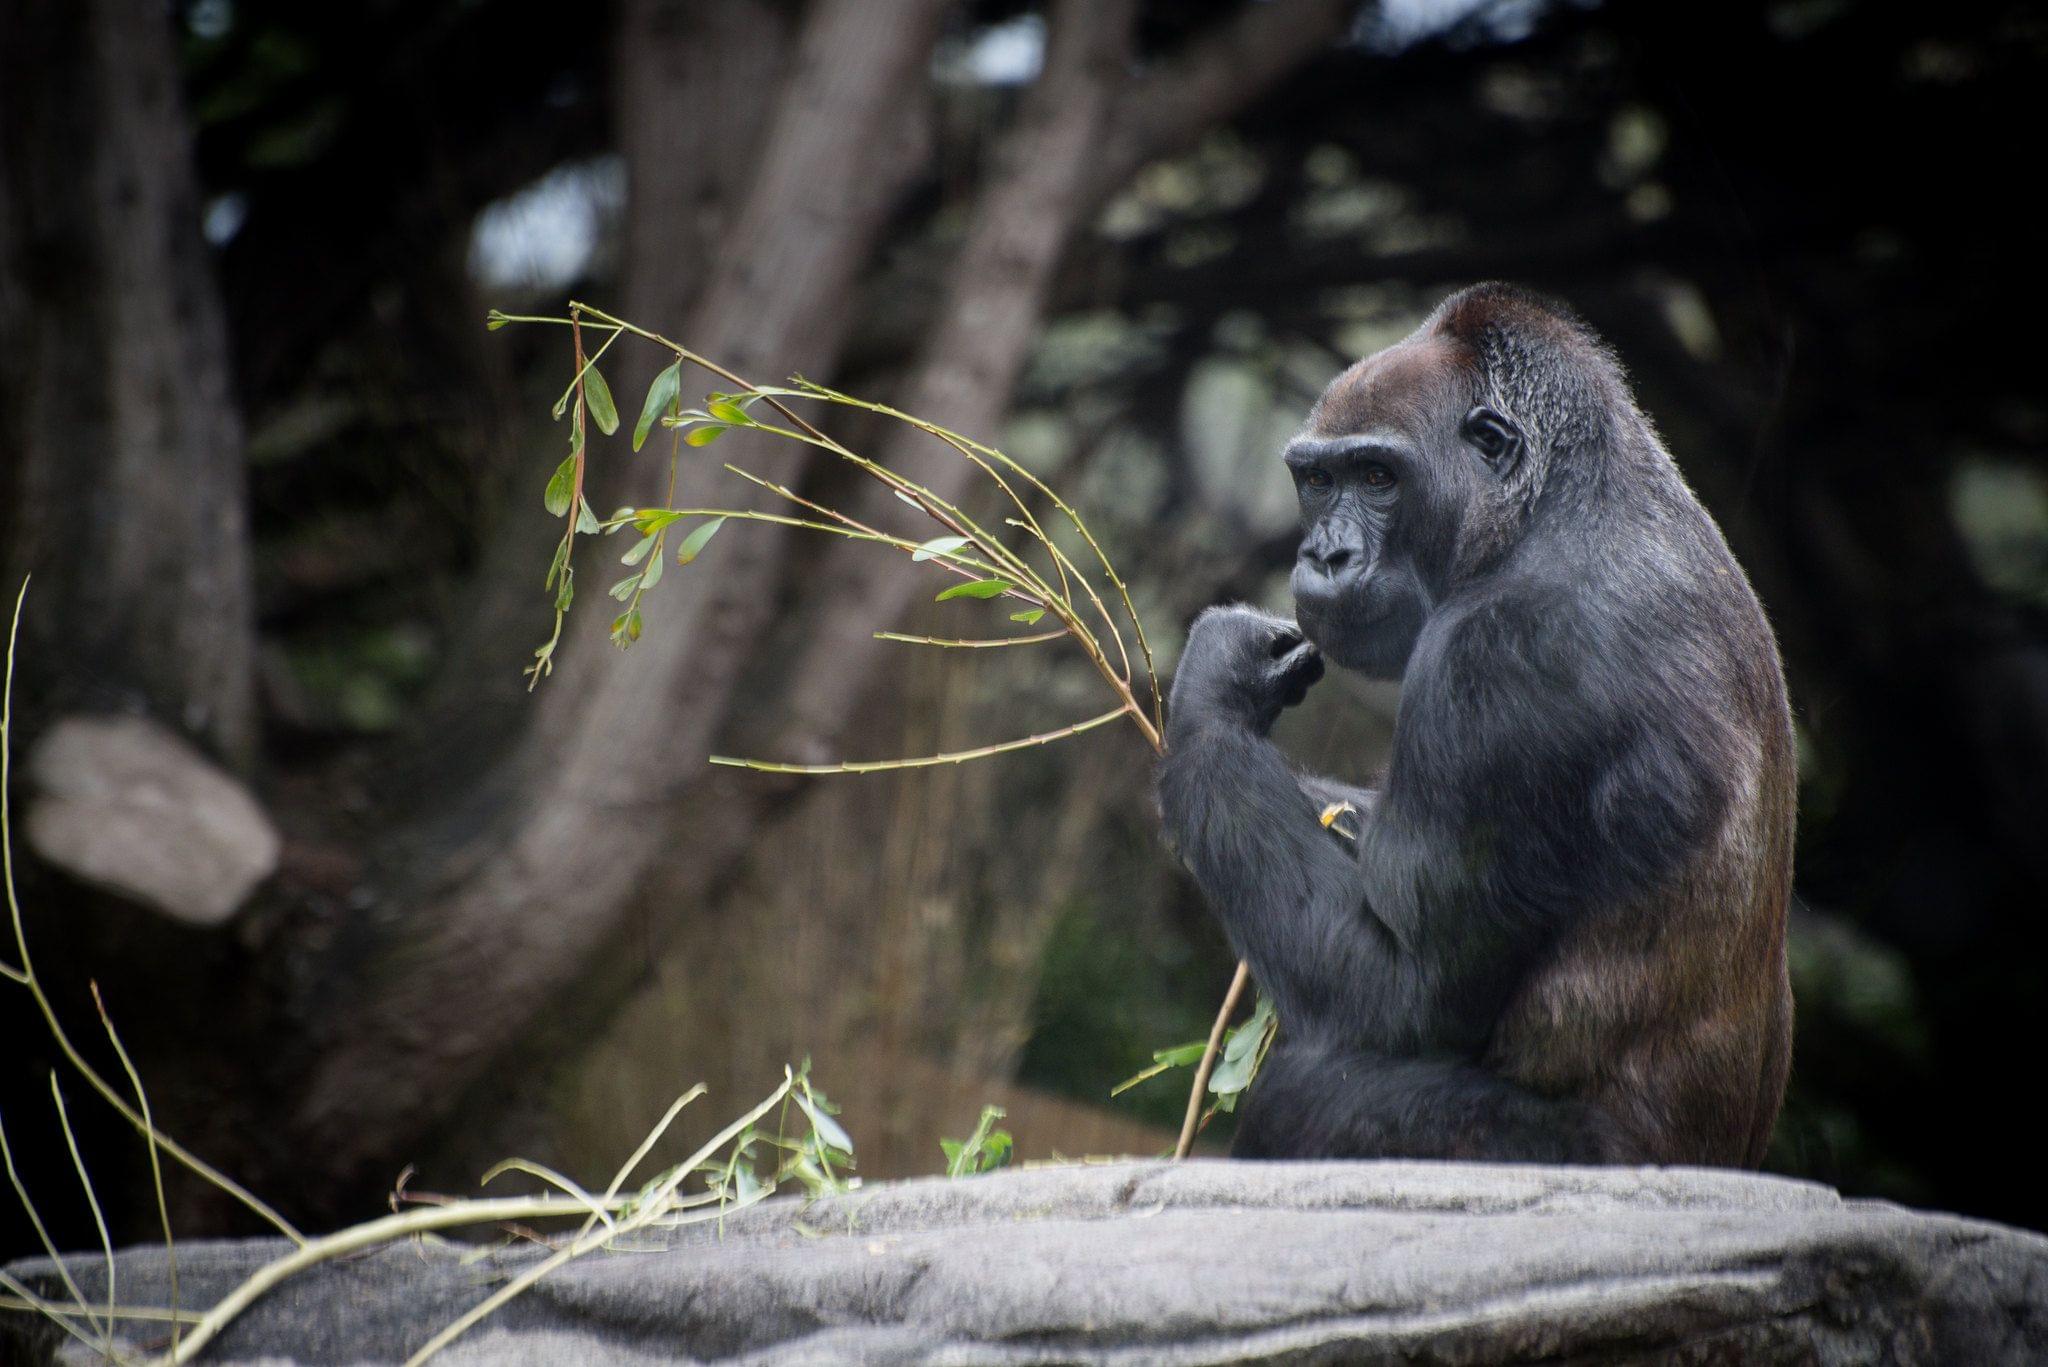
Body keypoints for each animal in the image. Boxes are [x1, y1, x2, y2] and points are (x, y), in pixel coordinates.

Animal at [1163, 286, 1802, 1164]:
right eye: (1318, 480)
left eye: (1378, 476)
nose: (1323, 556)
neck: (1552, 504)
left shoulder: (1497, 663)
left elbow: (1402, 998)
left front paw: (1218, 683)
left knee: (1306, 1092)